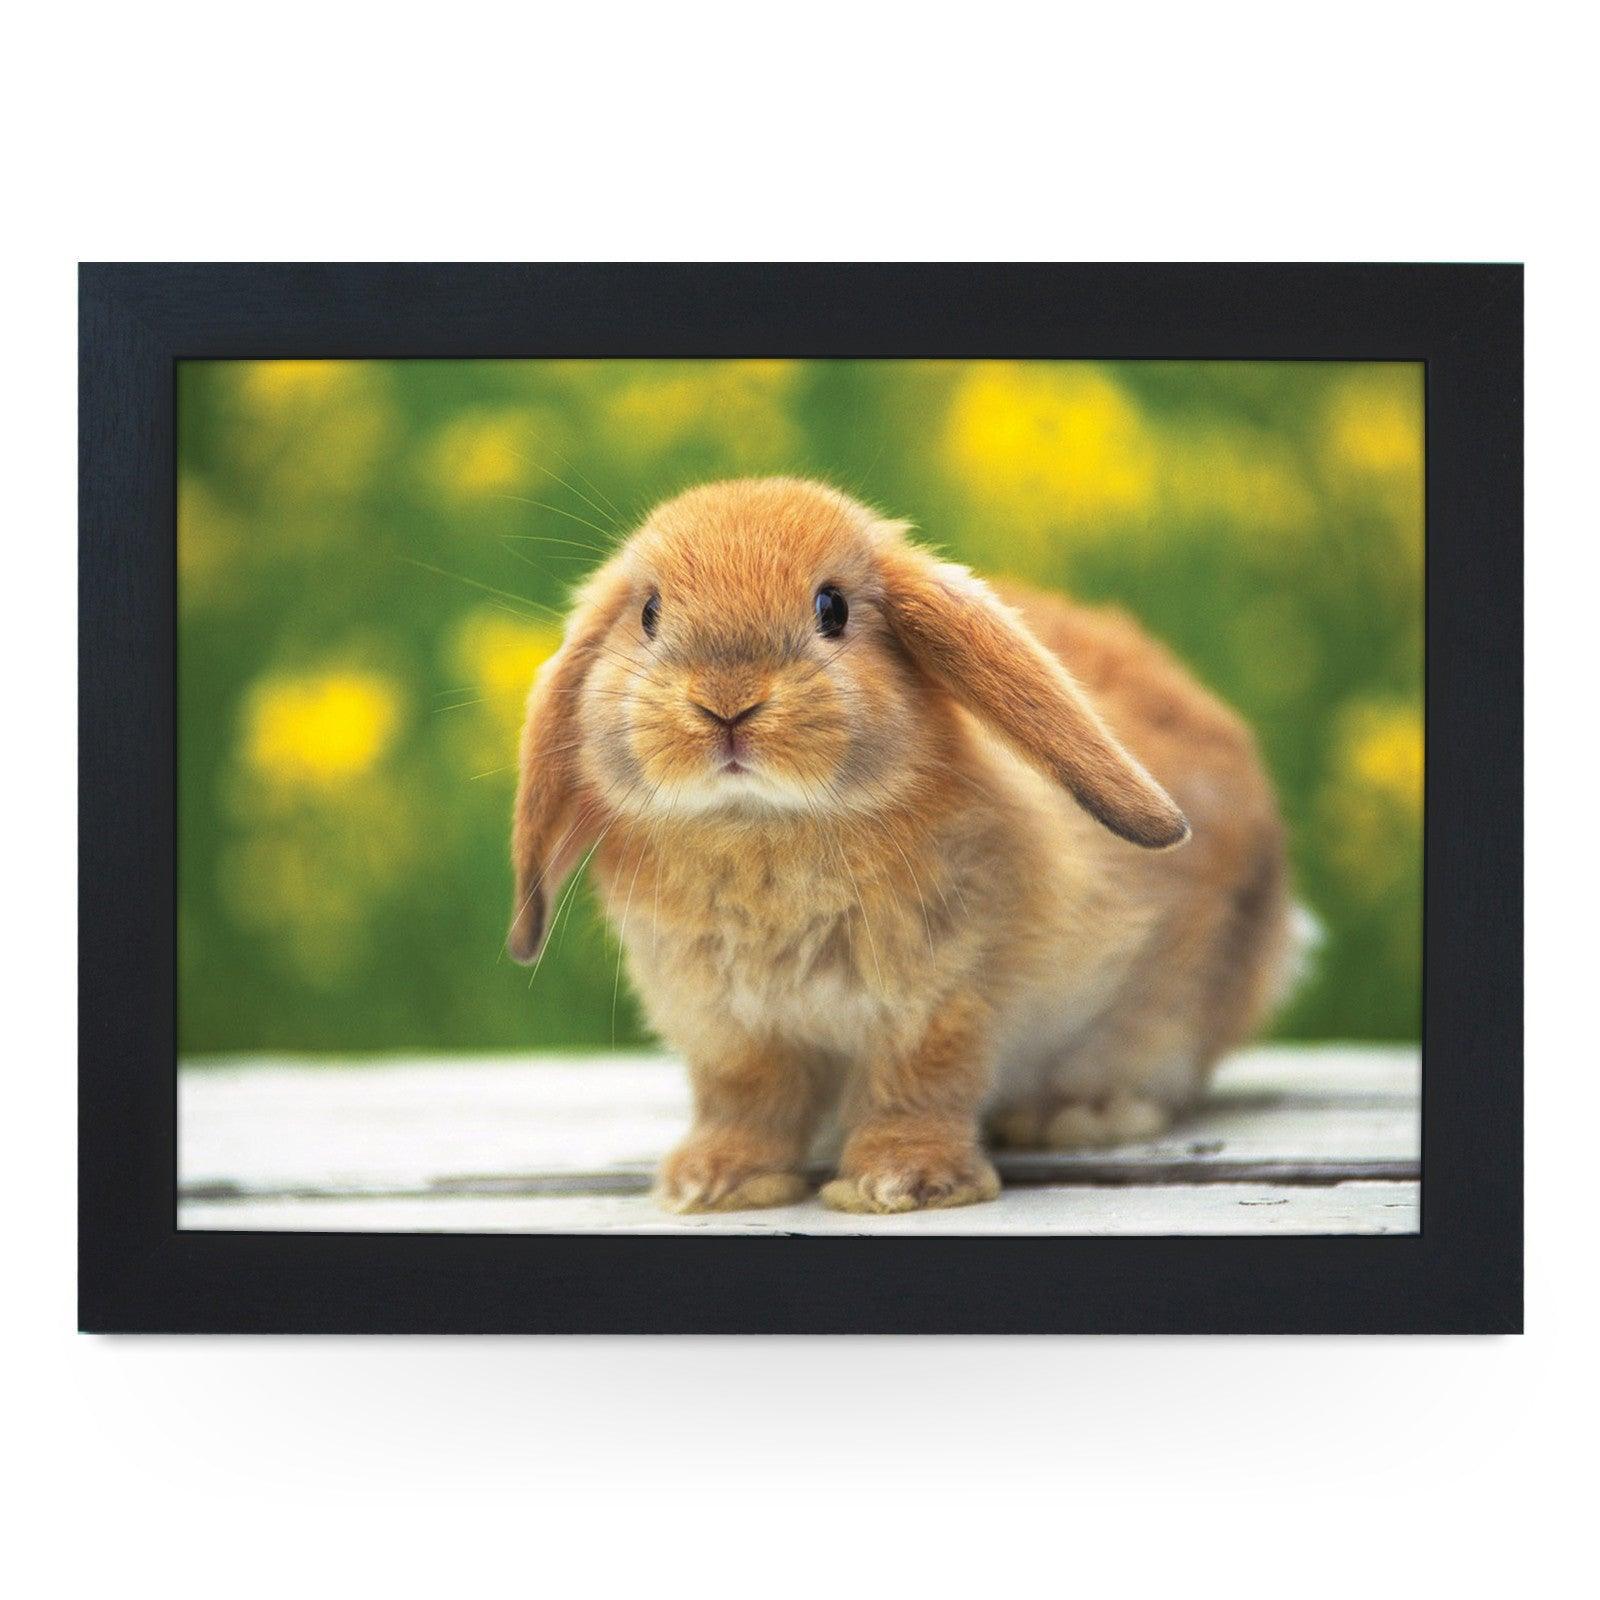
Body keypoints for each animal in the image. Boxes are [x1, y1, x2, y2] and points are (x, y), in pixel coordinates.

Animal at [509, 477, 1296, 1214]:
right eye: (648, 613)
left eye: (832, 608)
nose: (726, 702)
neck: (761, 825)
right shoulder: (726, 1027)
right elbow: (747, 1100)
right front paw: (714, 1182)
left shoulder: (941, 1000)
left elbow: (917, 1086)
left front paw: (899, 1183)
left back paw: (1080, 1115)